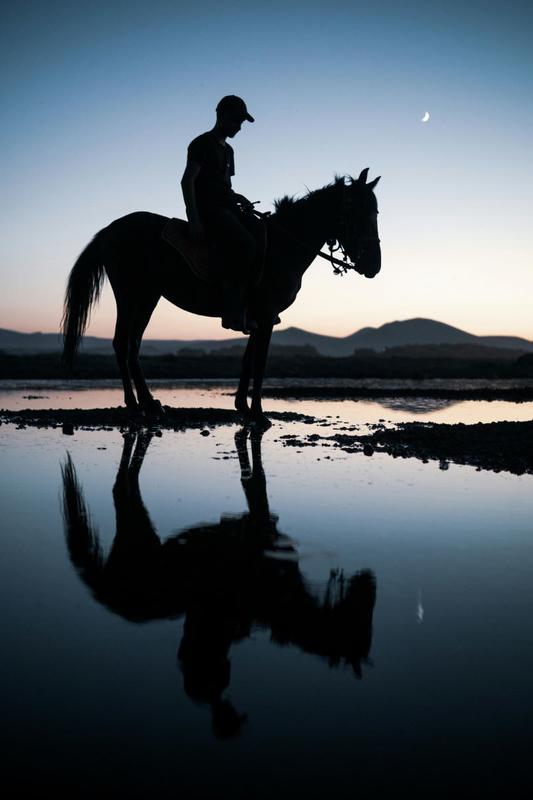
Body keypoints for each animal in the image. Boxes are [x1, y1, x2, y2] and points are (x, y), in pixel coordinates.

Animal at [62, 169, 381, 427]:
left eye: (375, 213)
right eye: (360, 213)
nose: (374, 266)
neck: (283, 247)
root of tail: (110, 230)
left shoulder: (257, 317)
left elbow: (248, 360)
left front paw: (243, 407)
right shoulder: (266, 316)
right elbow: (260, 363)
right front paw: (259, 414)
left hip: (148, 297)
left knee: (132, 346)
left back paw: (150, 404)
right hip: (130, 294)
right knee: (121, 343)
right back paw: (135, 406)